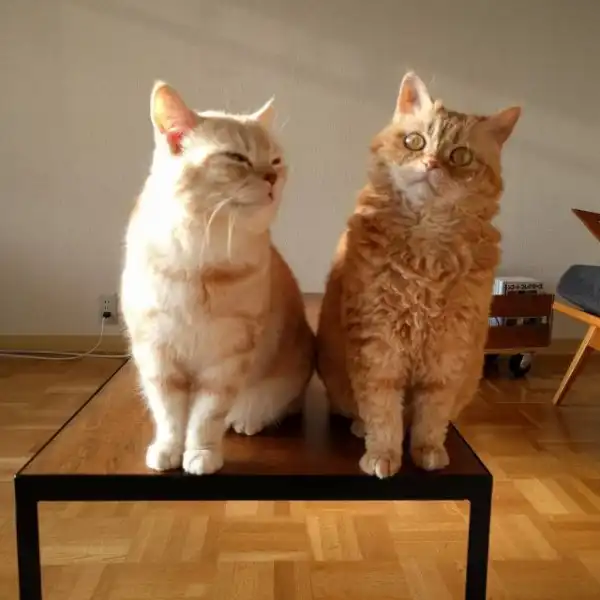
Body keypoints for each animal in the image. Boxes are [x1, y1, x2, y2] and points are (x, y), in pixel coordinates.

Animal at [120, 81, 314, 475]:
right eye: (237, 158)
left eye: (275, 161)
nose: (272, 178)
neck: (199, 256)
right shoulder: (156, 353)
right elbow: (168, 414)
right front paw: (168, 450)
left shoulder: (228, 358)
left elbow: (206, 416)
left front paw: (201, 453)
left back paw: (246, 419)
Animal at [316, 71, 521, 478]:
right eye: (416, 141)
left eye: (460, 156)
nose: (430, 164)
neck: (426, 258)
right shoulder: (377, 344)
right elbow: (383, 411)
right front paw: (383, 453)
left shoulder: (448, 351)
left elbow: (431, 416)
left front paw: (427, 450)